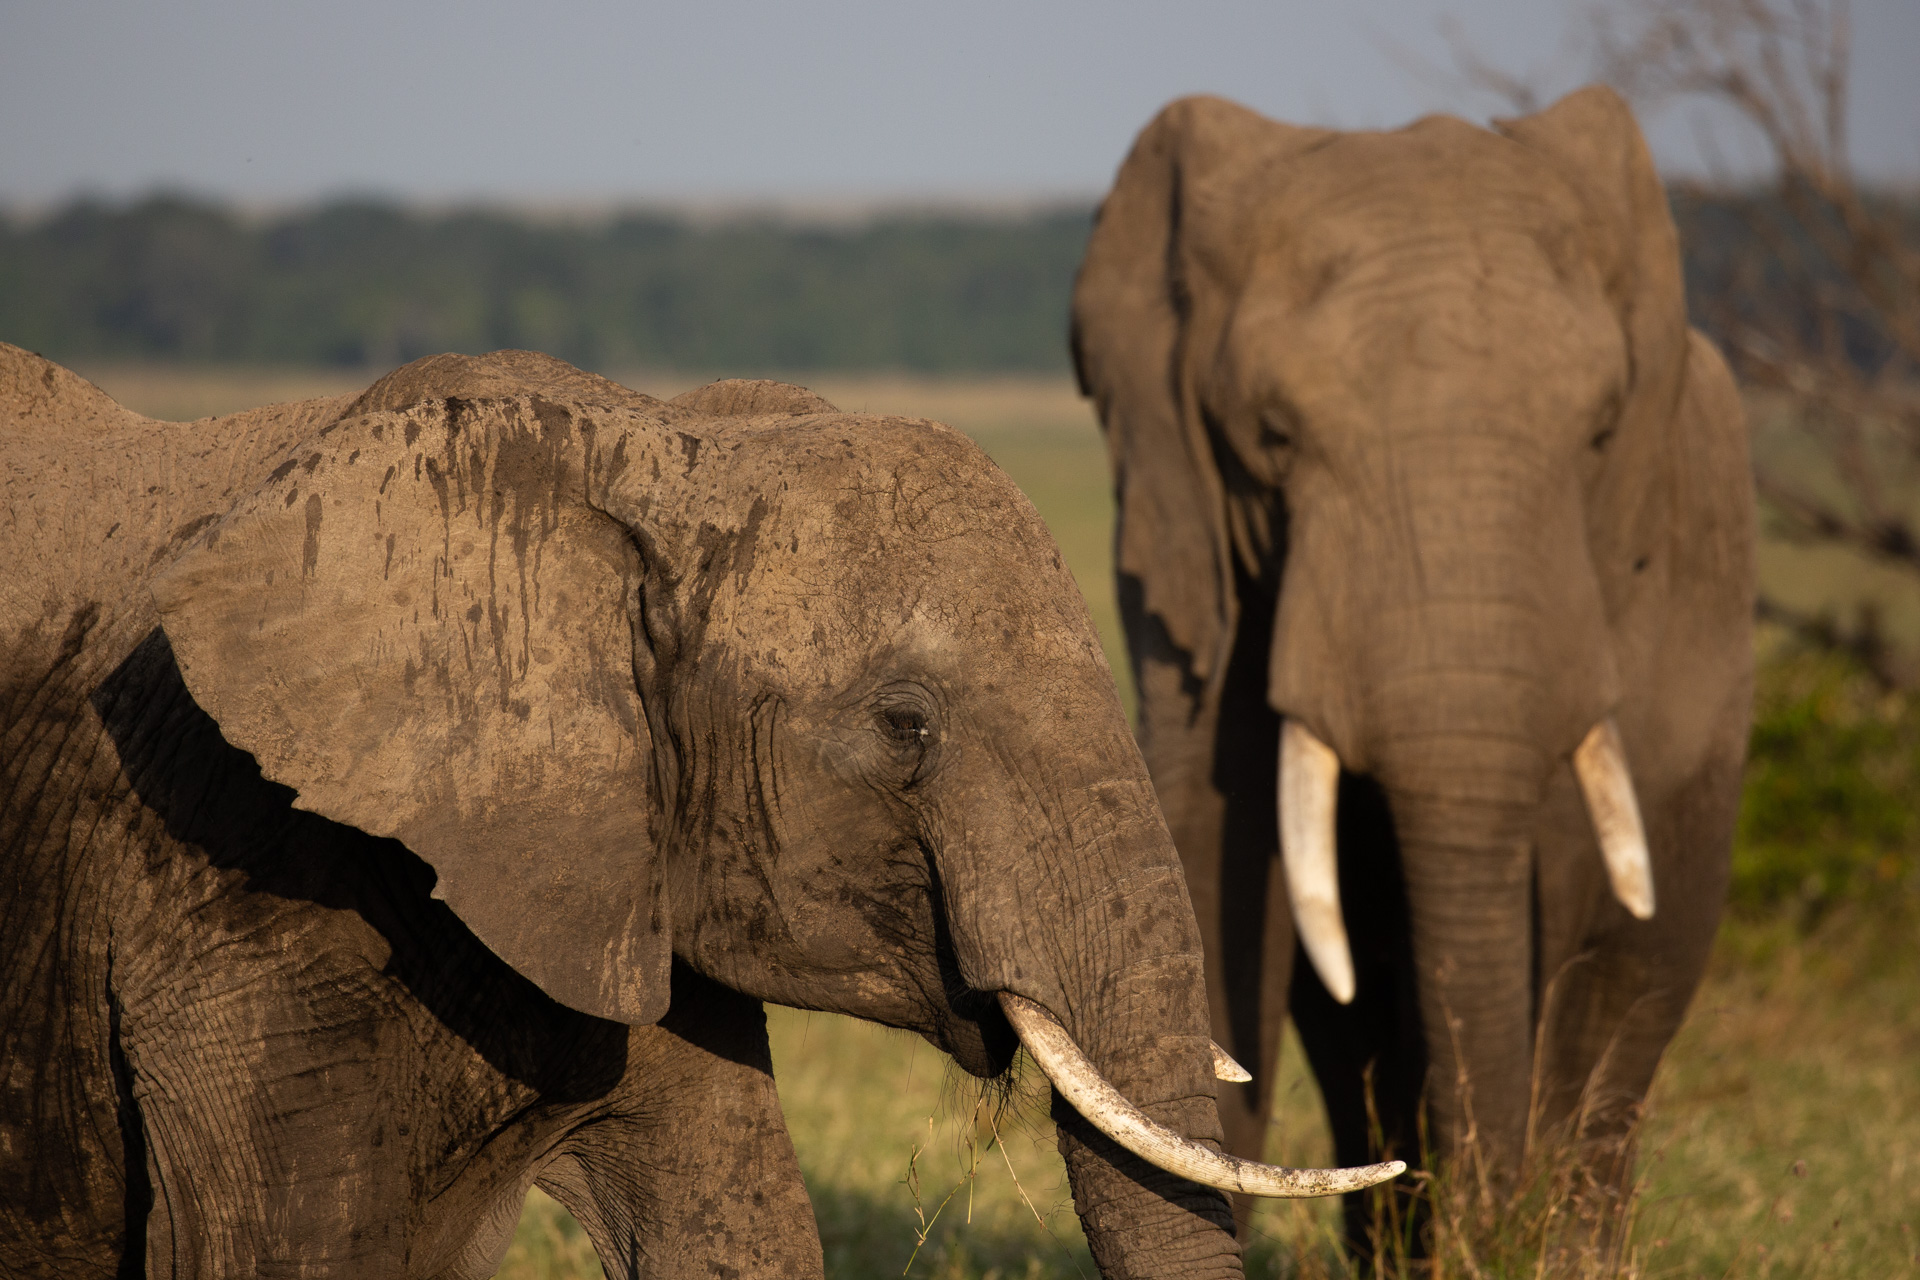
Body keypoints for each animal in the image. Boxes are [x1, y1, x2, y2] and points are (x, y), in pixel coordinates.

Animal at [1075, 84, 1758, 1235]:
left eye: (1599, 436)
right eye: (1272, 438)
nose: (1491, 1216)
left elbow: (1556, 887)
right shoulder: (1188, 547)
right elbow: (1209, 839)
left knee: (1616, 1020)